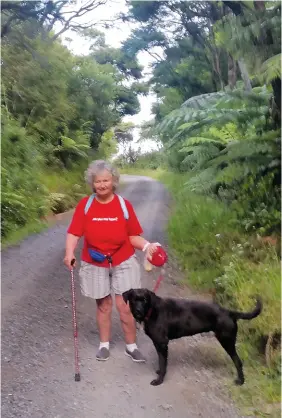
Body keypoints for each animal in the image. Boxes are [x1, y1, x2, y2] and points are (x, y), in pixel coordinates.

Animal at [123, 290, 262, 386]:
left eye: (145, 300)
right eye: (134, 300)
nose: (138, 311)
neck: (152, 311)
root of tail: (229, 312)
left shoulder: (162, 343)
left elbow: (163, 363)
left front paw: (159, 380)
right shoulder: (159, 344)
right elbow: (162, 362)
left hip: (227, 341)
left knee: (238, 361)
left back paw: (240, 381)